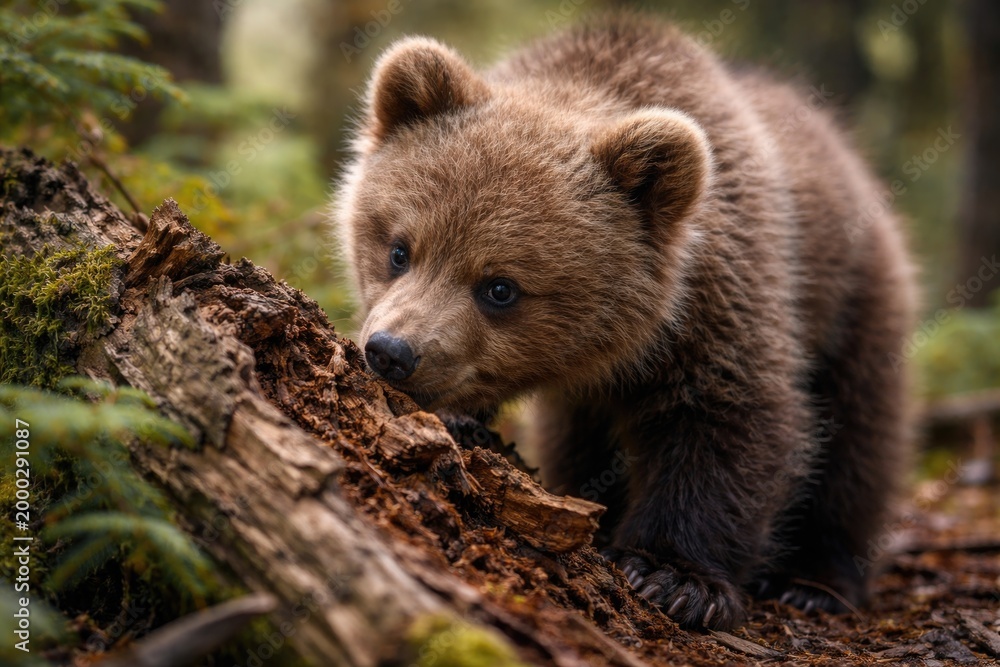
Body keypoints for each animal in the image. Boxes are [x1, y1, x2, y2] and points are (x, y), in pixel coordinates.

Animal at [333, 14, 916, 630]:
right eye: (400, 250)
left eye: (500, 287)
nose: (393, 351)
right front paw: (463, 421)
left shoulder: (724, 298)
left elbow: (729, 419)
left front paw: (673, 576)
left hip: (855, 296)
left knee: (860, 436)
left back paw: (815, 581)